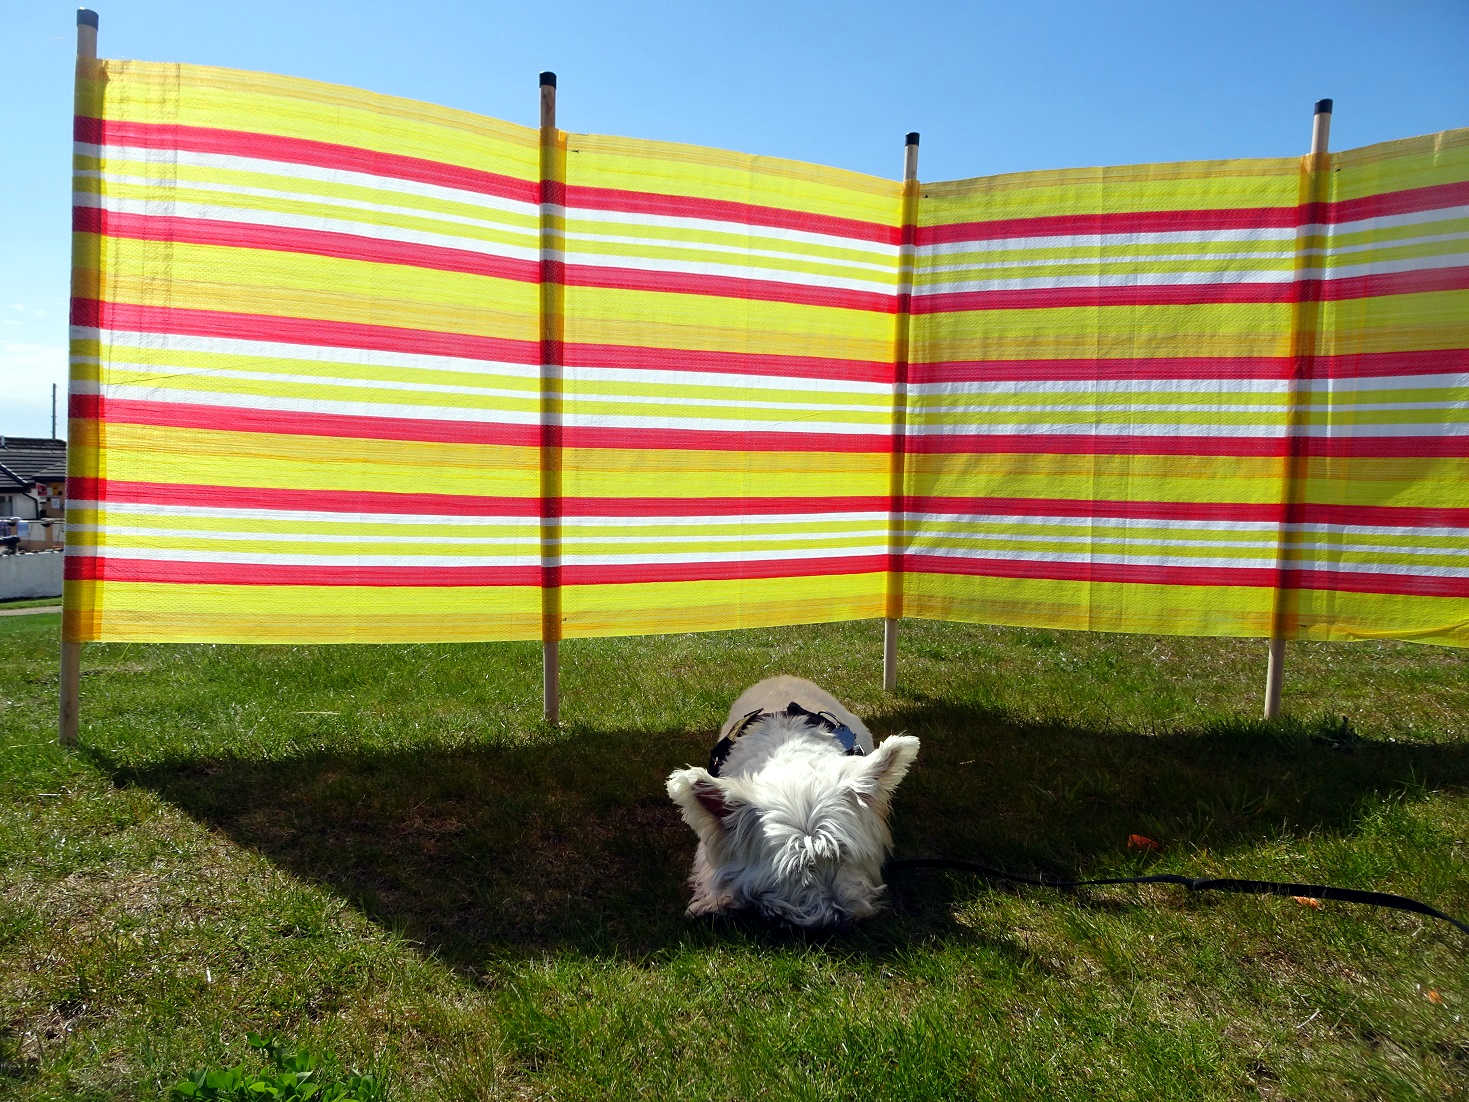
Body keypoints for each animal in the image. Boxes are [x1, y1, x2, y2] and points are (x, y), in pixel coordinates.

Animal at [666, 678, 916, 928]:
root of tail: (781, 676)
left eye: (843, 855)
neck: (792, 764)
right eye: (795, 871)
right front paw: (715, 901)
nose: (838, 918)